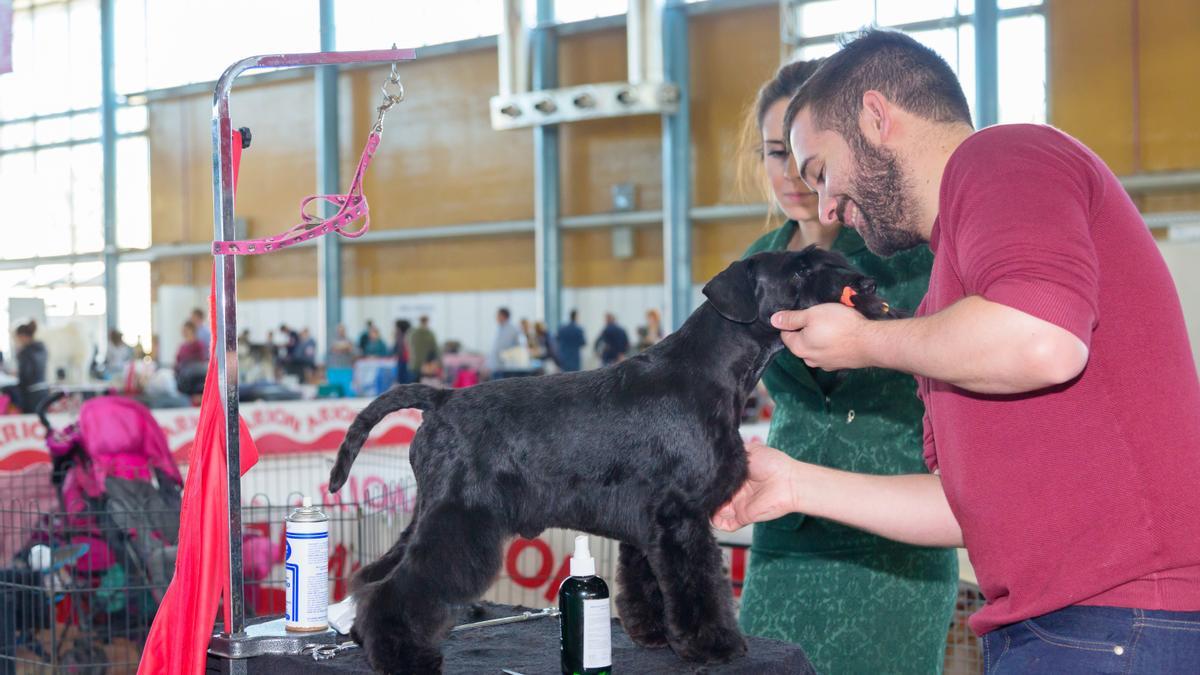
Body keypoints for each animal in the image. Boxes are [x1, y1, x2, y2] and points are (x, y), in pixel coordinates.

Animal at [328, 246, 902, 667]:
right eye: (801, 268)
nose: (871, 286)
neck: (712, 371)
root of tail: (441, 399)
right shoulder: (680, 518)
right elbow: (699, 585)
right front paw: (713, 644)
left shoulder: (650, 525)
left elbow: (650, 581)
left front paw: (655, 635)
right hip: (460, 519)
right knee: (400, 585)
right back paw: (402, 654)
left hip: (430, 511)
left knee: (375, 574)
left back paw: (362, 635)